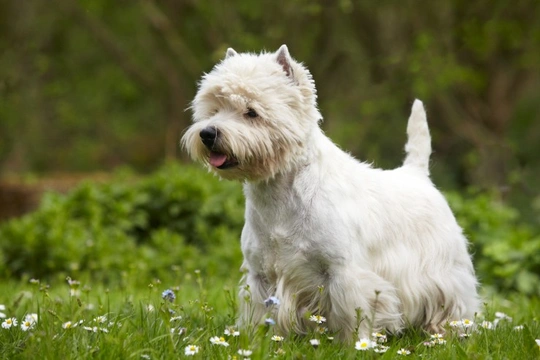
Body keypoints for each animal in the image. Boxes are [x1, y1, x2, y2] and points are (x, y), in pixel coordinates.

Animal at [184, 44, 478, 340]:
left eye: (252, 112)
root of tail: (417, 174)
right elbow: (259, 312)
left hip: (444, 268)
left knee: (456, 301)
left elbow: (353, 314)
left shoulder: (345, 272)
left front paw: (356, 343)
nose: (208, 133)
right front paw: (260, 340)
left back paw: (448, 331)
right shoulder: (260, 274)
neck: (279, 193)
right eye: (214, 109)